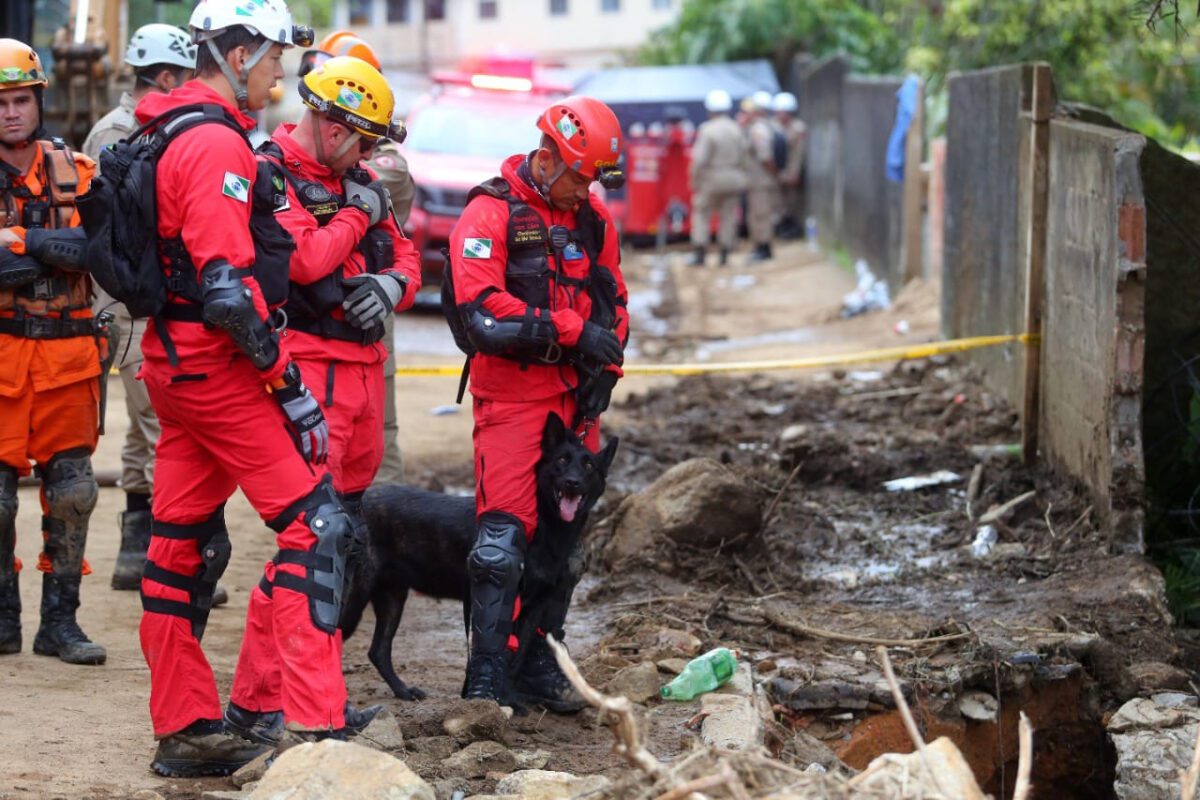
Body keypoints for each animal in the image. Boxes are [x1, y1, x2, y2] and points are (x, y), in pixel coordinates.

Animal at [338, 412, 619, 700]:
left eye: (589, 466)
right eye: (561, 460)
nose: (573, 482)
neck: (547, 527)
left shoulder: (533, 608)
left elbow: (517, 658)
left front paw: (510, 699)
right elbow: (501, 652)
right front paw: (498, 702)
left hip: (392, 596)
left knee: (378, 651)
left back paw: (403, 690)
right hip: (353, 598)